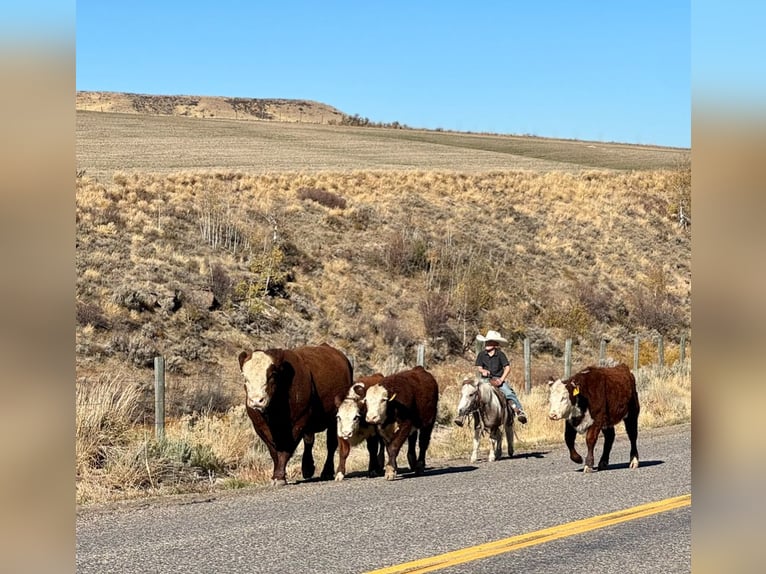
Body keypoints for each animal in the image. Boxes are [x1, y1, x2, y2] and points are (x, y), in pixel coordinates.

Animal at [237, 344, 354, 488]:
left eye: (272, 375)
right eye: (245, 377)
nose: (256, 401)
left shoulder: (298, 422)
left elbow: (286, 449)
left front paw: (279, 477)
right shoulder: (260, 427)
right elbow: (273, 452)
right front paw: (276, 475)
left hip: (334, 418)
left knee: (331, 444)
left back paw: (327, 471)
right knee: (309, 441)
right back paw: (307, 468)